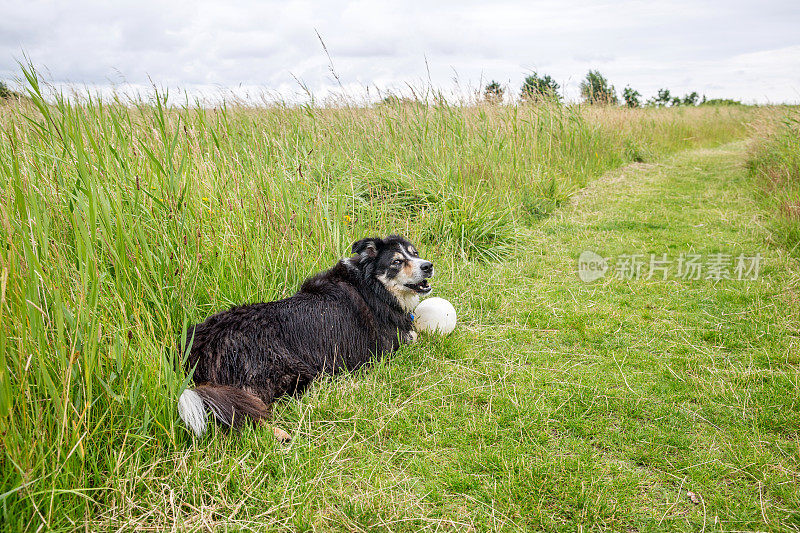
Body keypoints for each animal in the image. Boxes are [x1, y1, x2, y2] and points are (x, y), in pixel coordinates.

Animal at [179, 235, 434, 438]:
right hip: (284, 371)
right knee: (245, 410)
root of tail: (197, 348)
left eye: (415, 253)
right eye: (397, 262)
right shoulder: (390, 345)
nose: (428, 266)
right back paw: (278, 433)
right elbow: (415, 335)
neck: (372, 285)